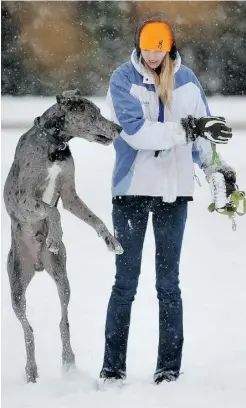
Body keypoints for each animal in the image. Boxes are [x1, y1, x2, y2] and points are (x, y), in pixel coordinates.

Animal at [3, 88, 123, 382]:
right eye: (94, 113)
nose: (119, 128)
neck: (55, 146)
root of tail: (37, 264)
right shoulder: (21, 198)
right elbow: (51, 211)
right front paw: (55, 237)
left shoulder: (69, 195)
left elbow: (94, 218)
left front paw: (111, 240)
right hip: (16, 285)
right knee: (28, 329)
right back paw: (31, 370)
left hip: (62, 277)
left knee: (63, 320)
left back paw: (68, 359)